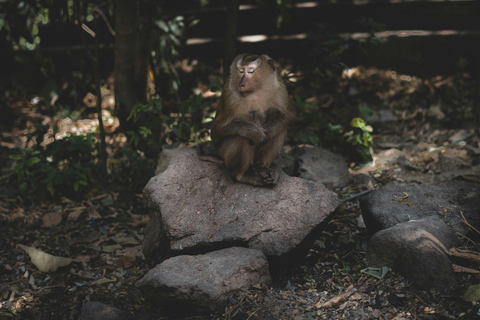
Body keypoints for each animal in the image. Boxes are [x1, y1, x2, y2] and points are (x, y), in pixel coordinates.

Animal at [199, 53, 296, 186]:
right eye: (240, 71)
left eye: (250, 71)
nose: (241, 83)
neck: (256, 90)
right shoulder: (229, 95)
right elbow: (219, 127)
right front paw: (255, 133)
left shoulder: (279, 87)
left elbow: (288, 114)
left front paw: (269, 131)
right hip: (224, 153)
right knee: (240, 138)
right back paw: (242, 175)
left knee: (280, 131)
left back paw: (262, 167)